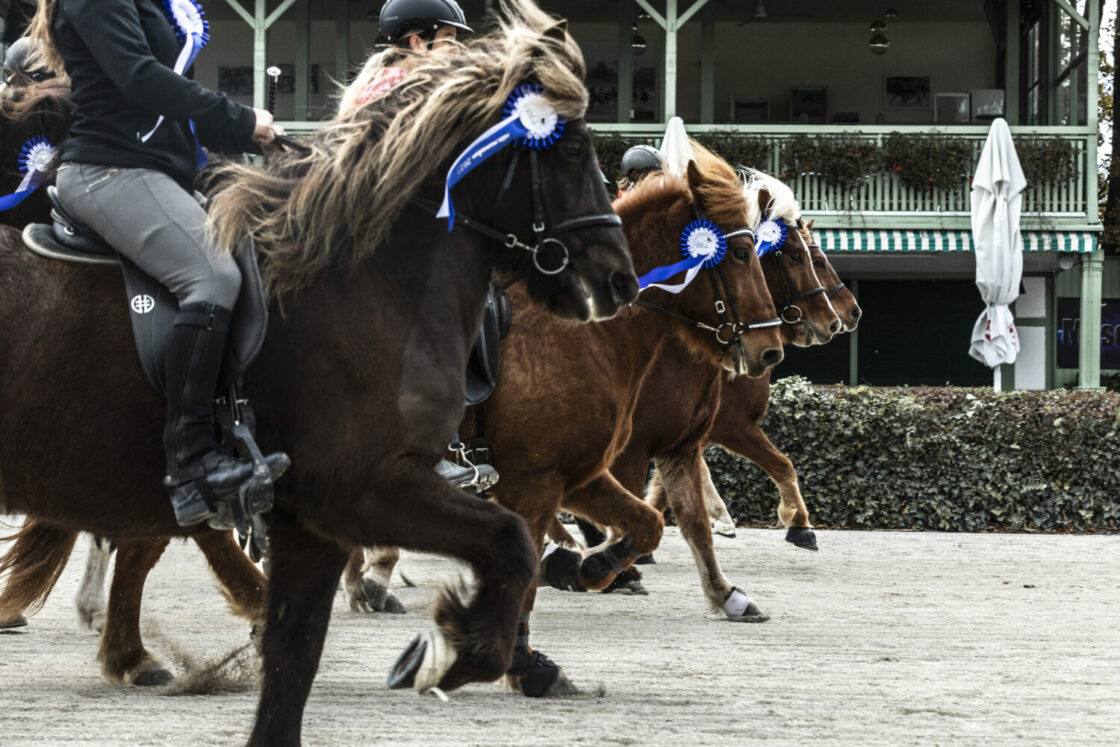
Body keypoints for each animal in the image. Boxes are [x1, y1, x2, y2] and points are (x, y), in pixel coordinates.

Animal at [0, 4, 640, 743]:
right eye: (571, 150)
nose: (619, 279)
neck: (362, 280)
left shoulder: (315, 522)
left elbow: (292, 659)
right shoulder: (365, 487)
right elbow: (512, 545)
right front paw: (449, 653)